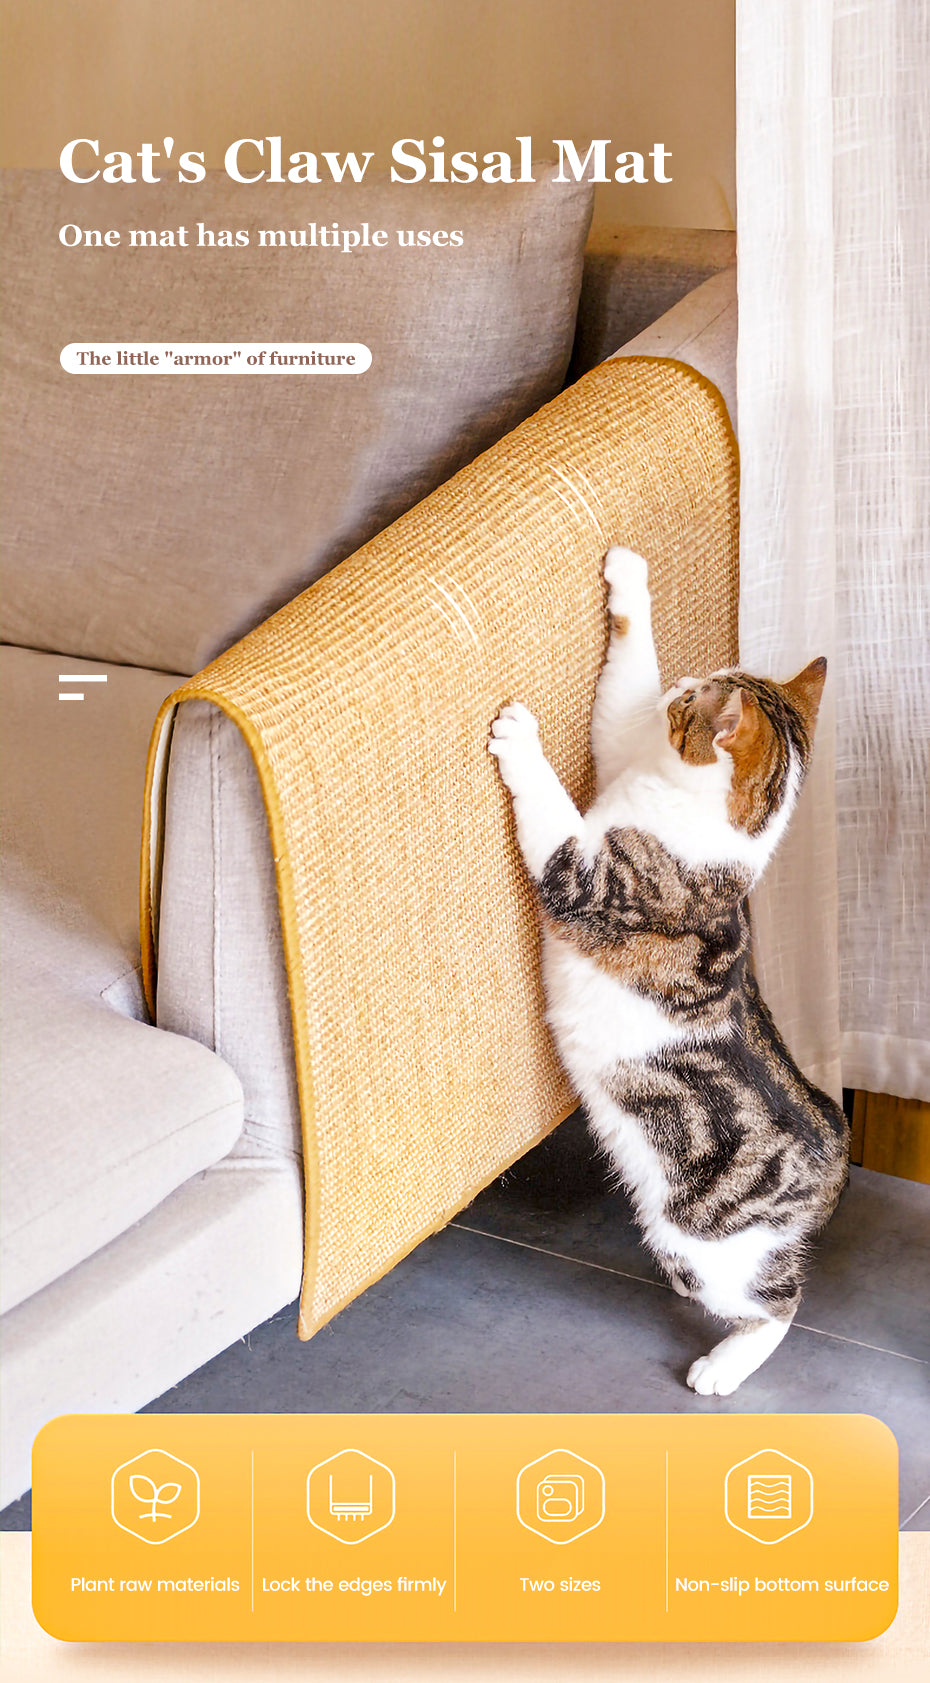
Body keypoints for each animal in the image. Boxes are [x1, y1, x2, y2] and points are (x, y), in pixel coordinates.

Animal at [494, 548, 847, 1393]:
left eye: (692, 699)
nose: (683, 680)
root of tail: (833, 1153)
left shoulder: (587, 876)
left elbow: (553, 817)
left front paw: (520, 739)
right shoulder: (622, 746)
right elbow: (621, 697)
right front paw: (629, 578)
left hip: (701, 1244)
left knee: (778, 1303)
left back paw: (725, 1366)